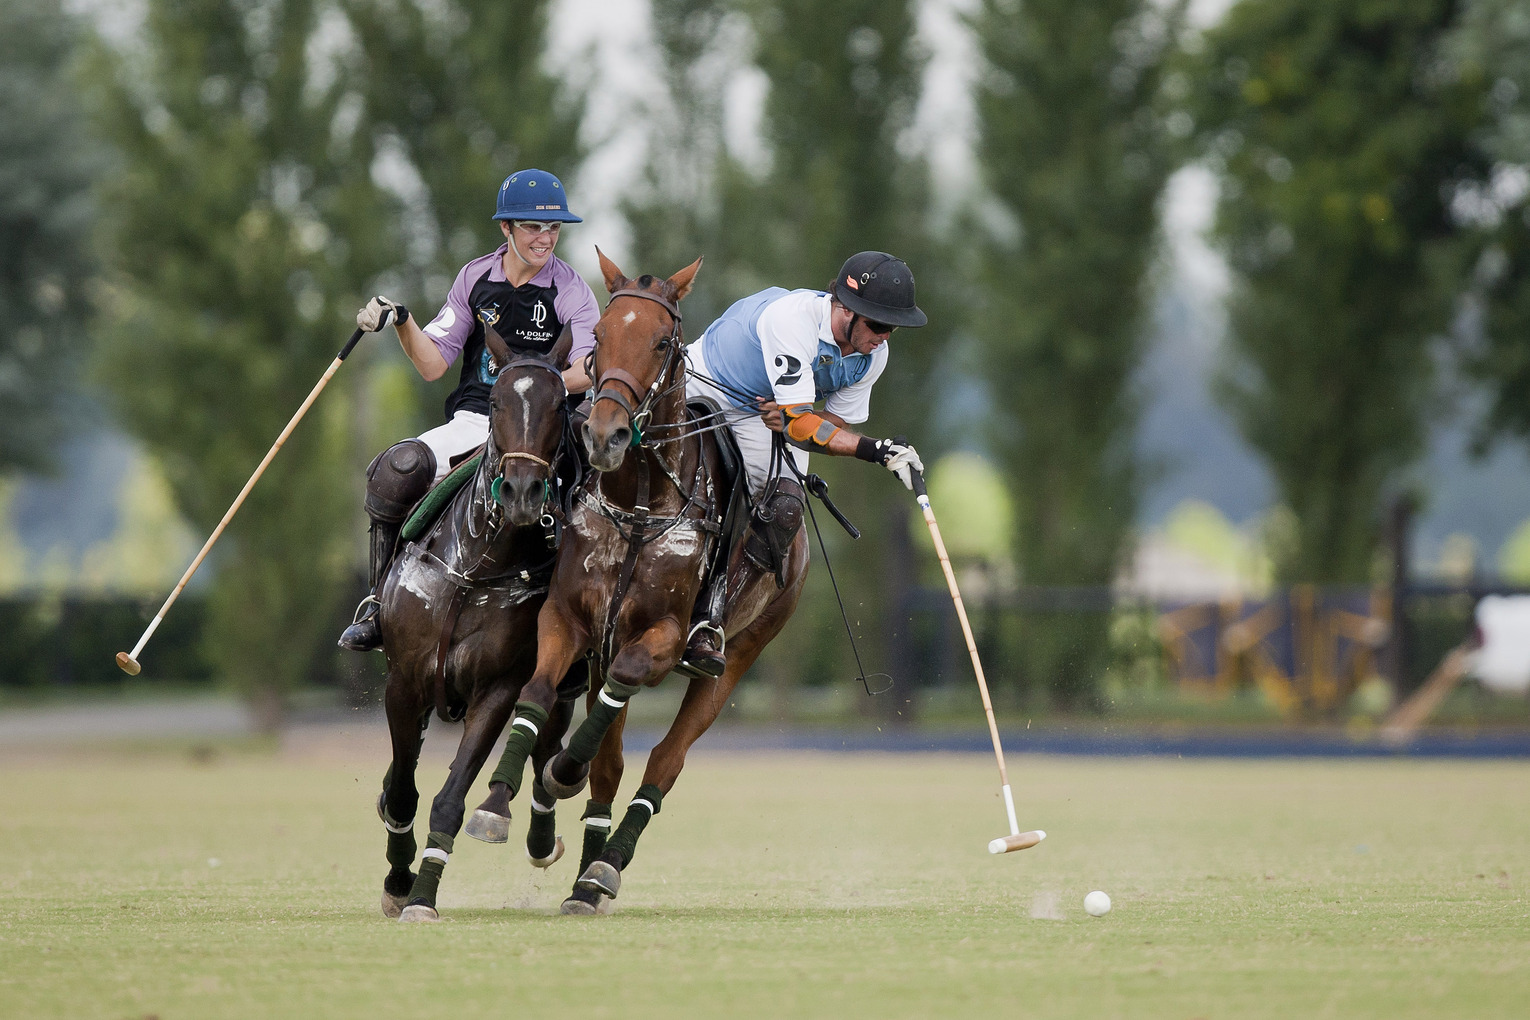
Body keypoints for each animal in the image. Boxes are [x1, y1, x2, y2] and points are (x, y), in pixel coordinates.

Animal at [371, 328, 584, 923]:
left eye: (560, 405)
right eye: (495, 404)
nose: (522, 493)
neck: (477, 566)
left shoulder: (498, 686)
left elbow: (449, 798)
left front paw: (422, 897)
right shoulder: (405, 680)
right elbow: (403, 792)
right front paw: (399, 884)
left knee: (548, 750)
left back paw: (535, 832)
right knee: (402, 465)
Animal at [474, 255, 813, 917]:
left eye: (661, 342)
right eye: (599, 338)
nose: (605, 435)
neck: (637, 504)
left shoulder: (662, 636)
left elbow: (628, 697)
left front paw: (562, 772)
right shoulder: (570, 620)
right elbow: (537, 692)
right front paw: (495, 804)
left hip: (742, 649)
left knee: (665, 759)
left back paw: (603, 867)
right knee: (612, 758)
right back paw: (584, 877)